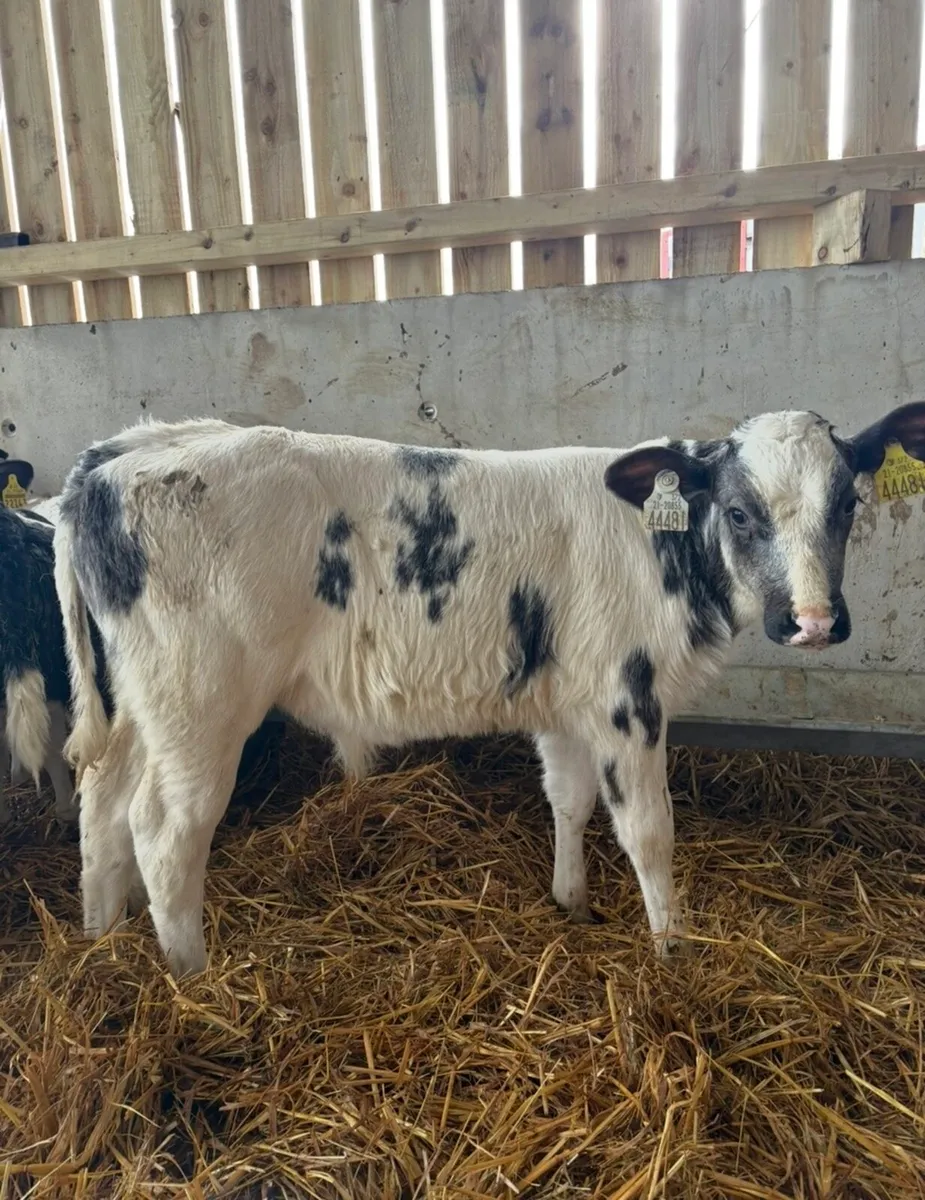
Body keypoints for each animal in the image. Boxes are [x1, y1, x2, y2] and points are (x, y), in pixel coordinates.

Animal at [53, 402, 925, 977]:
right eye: (739, 512)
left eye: (847, 504)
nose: (812, 621)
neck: (660, 550)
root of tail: (122, 455)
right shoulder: (628, 699)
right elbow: (648, 832)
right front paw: (671, 949)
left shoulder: (568, 700)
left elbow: (568, 799)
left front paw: (570, 902)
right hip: (198, 702)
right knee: (164, 830)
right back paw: (192, 978)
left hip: (139, 705)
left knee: (101, 804)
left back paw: (101, 937)